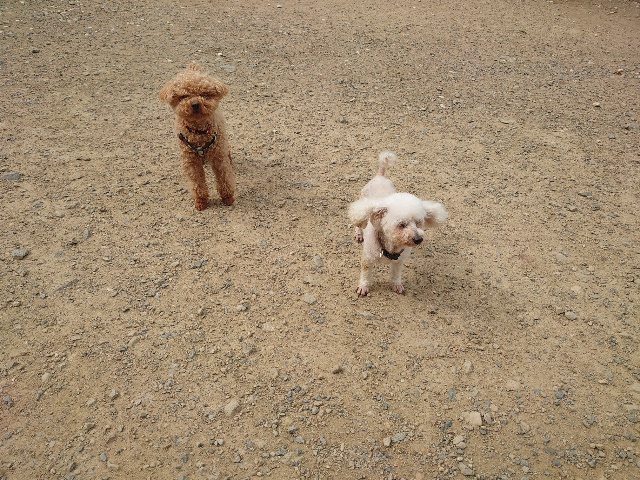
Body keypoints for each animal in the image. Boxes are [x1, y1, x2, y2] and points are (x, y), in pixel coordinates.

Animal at [159, 62, 235, 210]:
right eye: (184, 96)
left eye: (203, 94)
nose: (195, 104)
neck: (199, 132)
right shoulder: (191, 162)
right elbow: (197, 184)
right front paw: (201, 201)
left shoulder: (218, 158)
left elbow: (224, 178)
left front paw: (228, 197)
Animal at [348, 151, 447, 296]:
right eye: (401, 224)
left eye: (419, 223)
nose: (418, 239)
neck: (391, 247)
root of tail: (380, 176)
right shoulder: (367, 259)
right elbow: (366, 275)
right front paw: (363, 287)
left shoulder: (399, 262)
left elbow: (395, 274)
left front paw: (396, 285)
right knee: (359, 222)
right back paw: (359, 234)